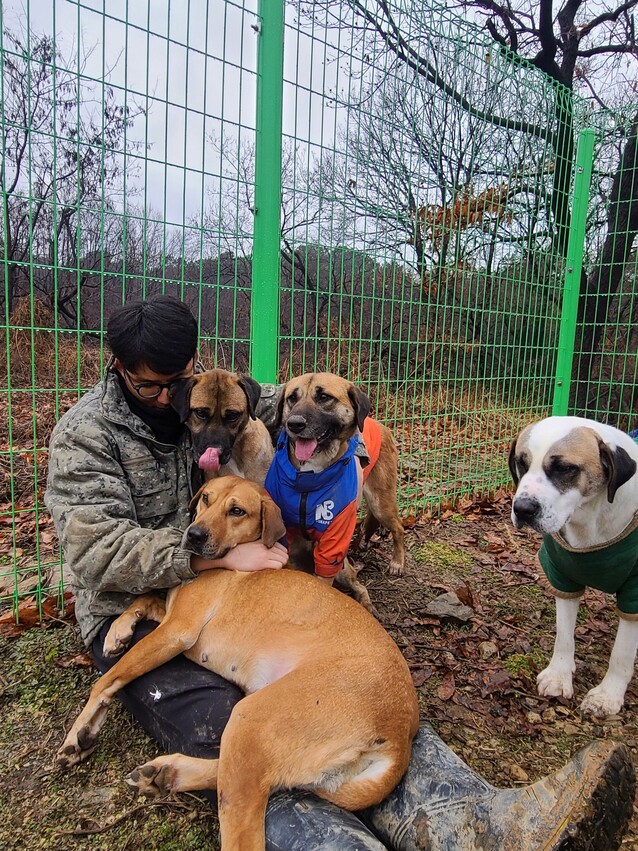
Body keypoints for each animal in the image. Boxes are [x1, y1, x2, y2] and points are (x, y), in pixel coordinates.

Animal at [56, 480, 420, 851]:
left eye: (237, 511)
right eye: (206, 498)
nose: (193, 535)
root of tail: (399, 733)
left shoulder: (176, 632)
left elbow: (107, 680)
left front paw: (79, 732)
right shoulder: (170, 620)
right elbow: (145, 598)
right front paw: (118, 631)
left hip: (250, 720)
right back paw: (165, 775)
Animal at [510, 420, 638, 720]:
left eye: (565, 468)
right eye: (521, 463)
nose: (523, 509)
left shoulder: (635, 591)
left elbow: (622, 652)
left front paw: (607, 696)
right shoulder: (562, 576)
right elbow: (564, 636)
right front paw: (558, 676)